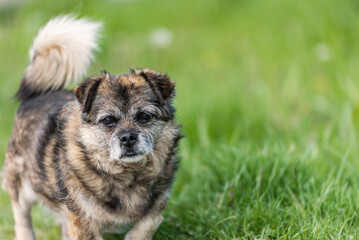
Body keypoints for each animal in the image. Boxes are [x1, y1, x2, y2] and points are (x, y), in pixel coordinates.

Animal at [2, 15, 183, 240]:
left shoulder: (155, 209)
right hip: (19, 186)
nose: (128, 138)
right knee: (21, 216)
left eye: (144, 116)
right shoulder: (82, 219)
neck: (127, 176)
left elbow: (144, 227)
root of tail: (36, 93)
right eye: (108, 120)